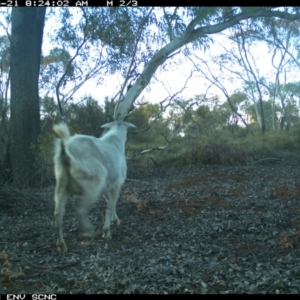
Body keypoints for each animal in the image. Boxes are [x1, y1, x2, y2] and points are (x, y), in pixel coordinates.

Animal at [53, 120, 136, 252]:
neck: (116, 140)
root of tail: (66, 151)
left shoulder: (106, 187)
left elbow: (109, 202)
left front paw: (115, 220)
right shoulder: (116, 184)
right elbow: (110, 205)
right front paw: (106, 231)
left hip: (62, 184)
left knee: (58, 213)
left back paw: (61, 245)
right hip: (92, 184)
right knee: (80, 209)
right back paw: (88, 231)